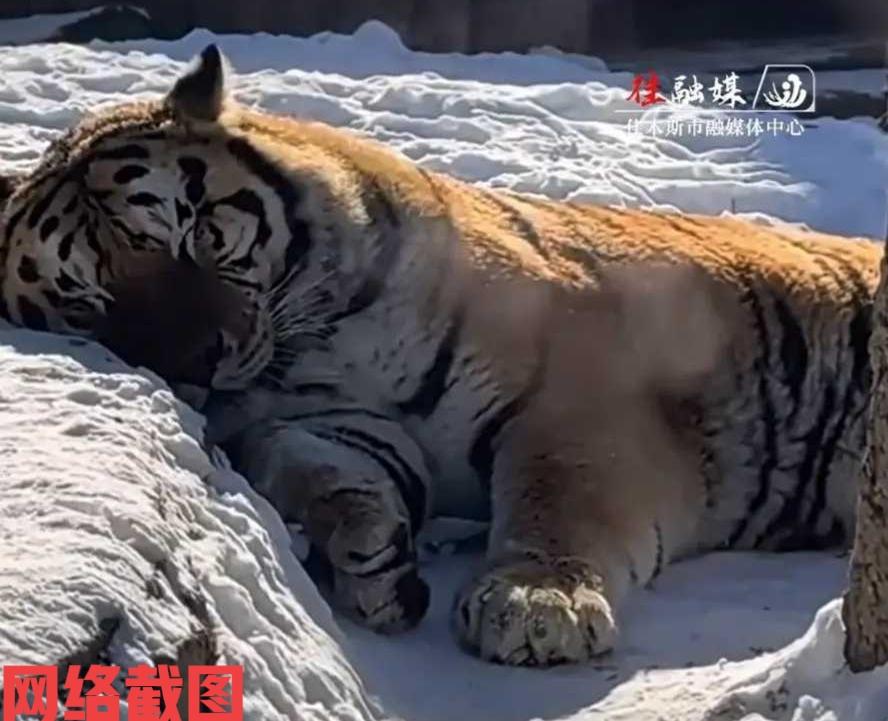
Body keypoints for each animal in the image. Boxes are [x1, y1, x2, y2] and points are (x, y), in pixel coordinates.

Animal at [0, 44, 881, 667]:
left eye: (194, 232)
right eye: (90, 302)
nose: (200, 360)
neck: (313, 345)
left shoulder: (577, 398)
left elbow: (559, 495)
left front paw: (535, 606)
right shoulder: (329, 420)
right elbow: (320, 468)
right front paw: (371, 560)